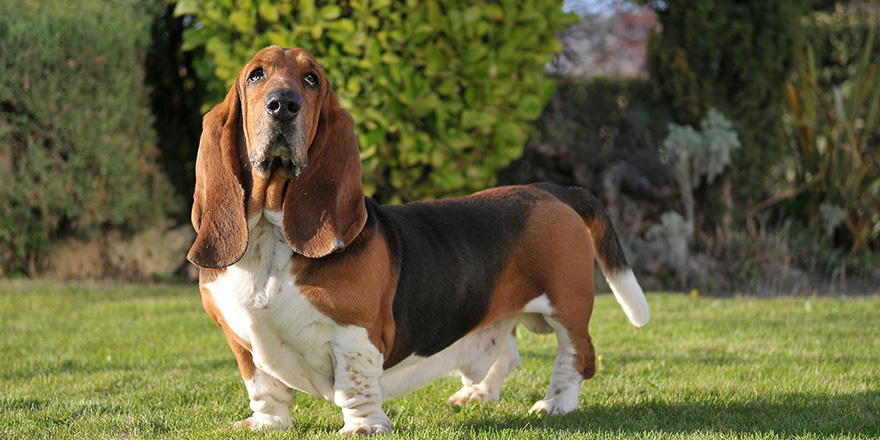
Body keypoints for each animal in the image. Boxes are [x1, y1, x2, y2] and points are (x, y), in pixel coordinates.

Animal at [187, 46, 652, 434]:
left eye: (311, 79)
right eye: (256, 75)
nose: (283, 105)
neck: (270, 234)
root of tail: (551, 190)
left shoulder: (355, 334)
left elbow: (355, 388)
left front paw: (363, 428)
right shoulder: (241, 341)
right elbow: (264, 391)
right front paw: (266, 425)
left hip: (568, 307)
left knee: (578, 358)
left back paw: (556, 404)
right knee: (506, 351)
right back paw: (477, 394)